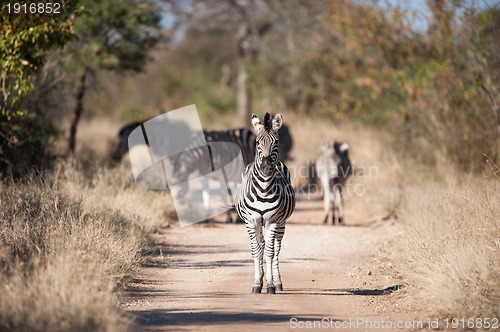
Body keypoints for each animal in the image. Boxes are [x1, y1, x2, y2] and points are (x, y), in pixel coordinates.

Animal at [236, 113, 294, 294]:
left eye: (276, 141)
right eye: (257, 142)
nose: (267, 167)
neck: (263, 189)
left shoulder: (272, 221)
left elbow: (269, 253)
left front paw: (269, 285)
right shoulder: (251, 221)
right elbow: (257, 252)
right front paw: (257, 283)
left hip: (281, 224)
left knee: (276, 250)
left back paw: (277, 282)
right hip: (258, 223)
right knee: (261, 246)